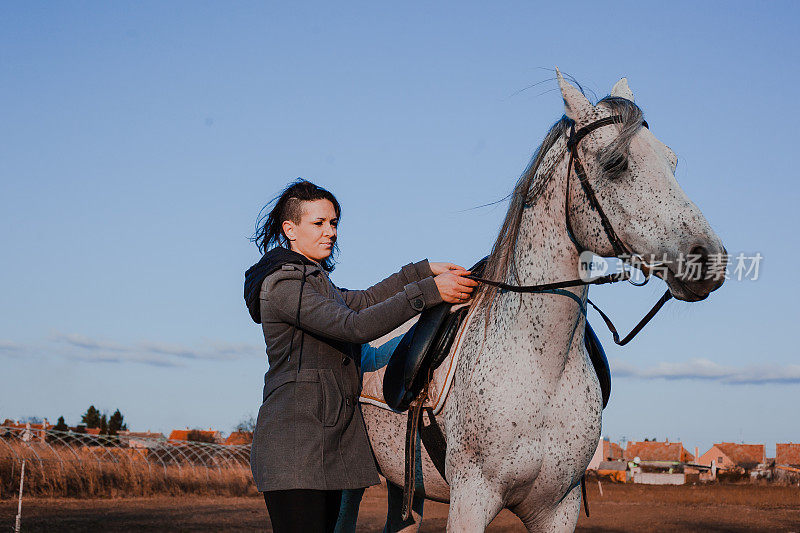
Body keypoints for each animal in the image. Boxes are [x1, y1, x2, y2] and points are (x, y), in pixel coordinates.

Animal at [356, 71, 724, 532]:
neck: (541, 367)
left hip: (403, 488)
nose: (708, 258)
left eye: (672, 161)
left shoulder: (558, 508)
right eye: (615, 163)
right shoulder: (470, 500)